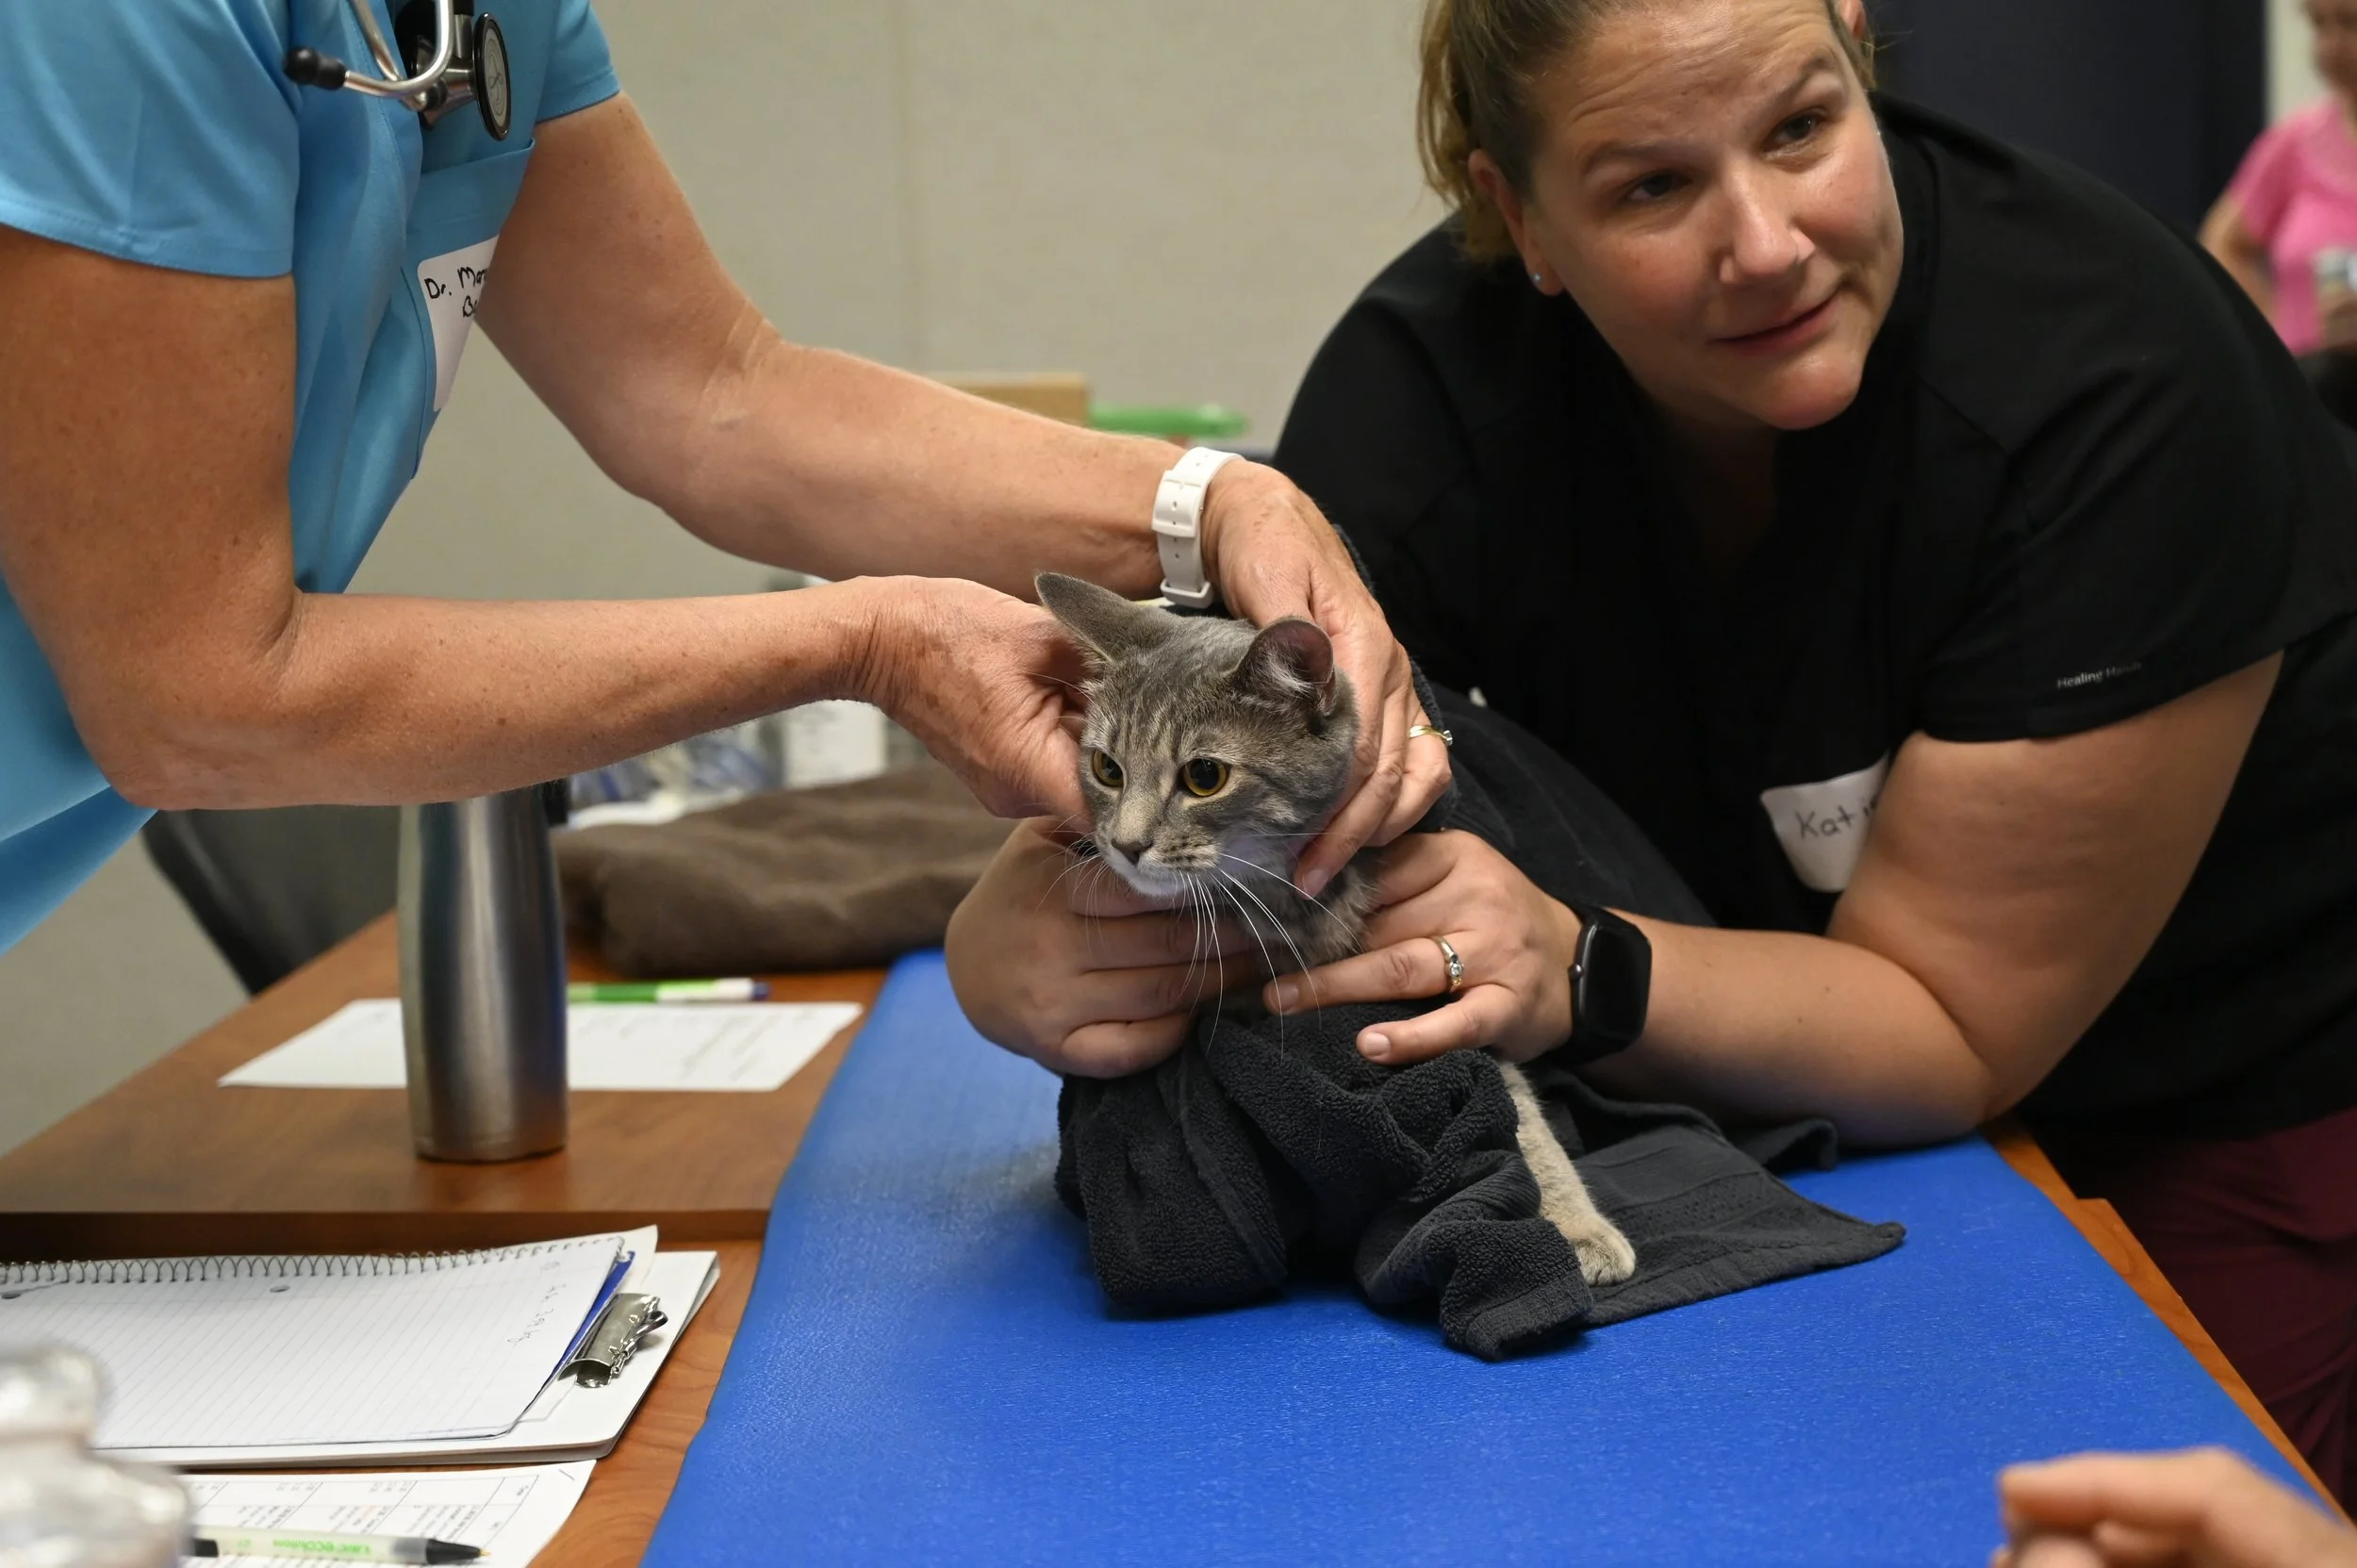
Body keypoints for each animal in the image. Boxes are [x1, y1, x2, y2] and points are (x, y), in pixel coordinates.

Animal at [1035, 572, 1637, 1287]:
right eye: (1107, 769)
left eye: (1204, 776)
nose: (1125, 845)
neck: (1285, 899)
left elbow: (1515, 1101)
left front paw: (1578, 1222)